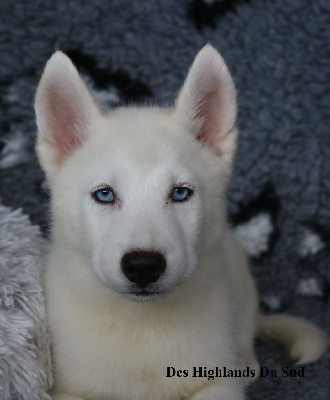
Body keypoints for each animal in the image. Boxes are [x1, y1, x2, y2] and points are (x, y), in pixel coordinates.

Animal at [34, 45, 326, 398]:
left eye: (180, 193)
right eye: (104, 195)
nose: (143, 266)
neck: (141, 323)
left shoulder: (217, 382)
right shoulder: (66, 389)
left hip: (240, 279)